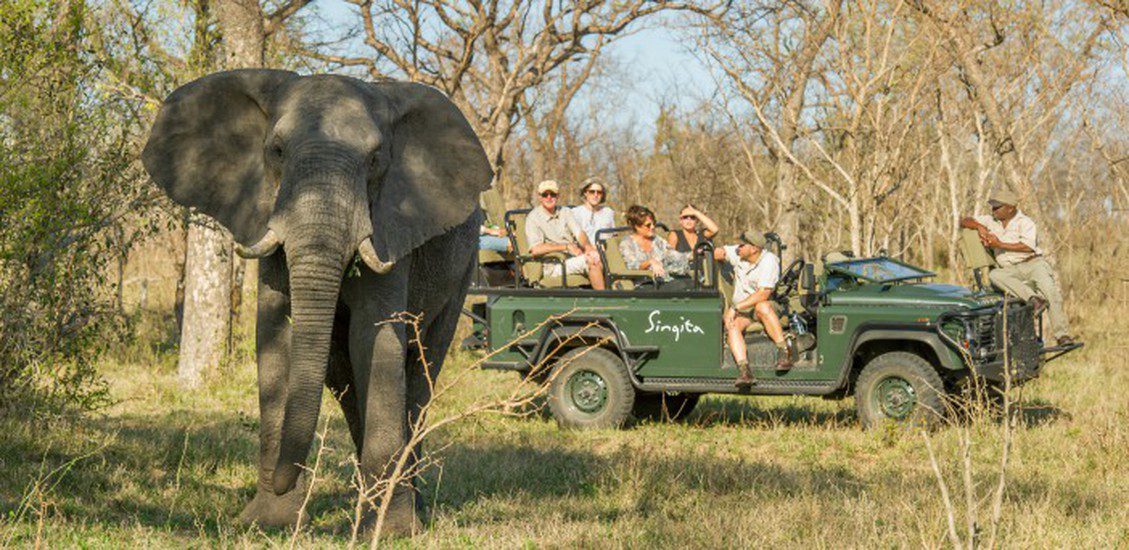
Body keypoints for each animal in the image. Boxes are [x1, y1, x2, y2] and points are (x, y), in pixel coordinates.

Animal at [142, 69, 493, 535]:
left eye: (376, 159)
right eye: (276, 150)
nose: (280, 481)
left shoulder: (392, 227)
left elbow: (374, 338)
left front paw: (391, 531)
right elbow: (278, 333)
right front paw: (268, 523)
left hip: (462, 270)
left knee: (421, 370)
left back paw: (410, 507)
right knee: (343, 376)